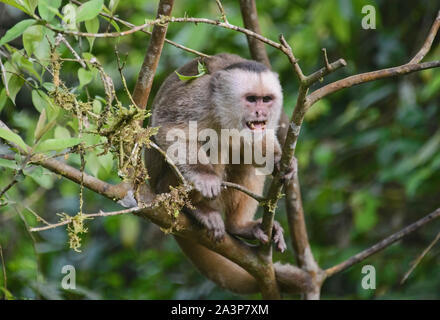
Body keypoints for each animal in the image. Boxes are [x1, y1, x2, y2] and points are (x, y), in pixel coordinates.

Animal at [144, 53, 300, 296]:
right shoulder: (198, 100)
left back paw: (239, 225)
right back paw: (196, 209)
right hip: (163, 186)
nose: (261, 113)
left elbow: (261, 143)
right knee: (215, 143)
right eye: (251, 99)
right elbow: (170, 130)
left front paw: (281, 161)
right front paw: (204, 178)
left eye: (266, 99)